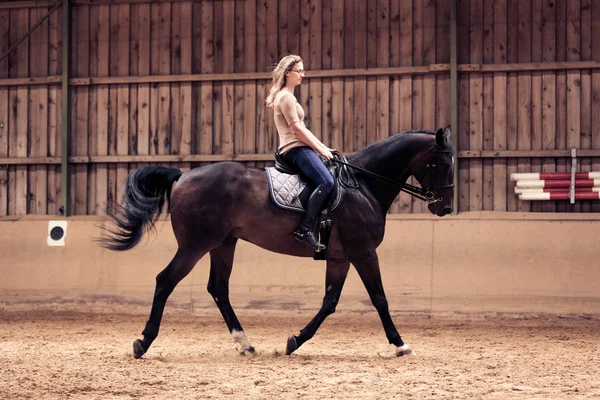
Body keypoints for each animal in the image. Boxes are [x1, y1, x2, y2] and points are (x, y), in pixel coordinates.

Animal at [99, 124, 454, 356]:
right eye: (443, 163)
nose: (445, 208)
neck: (363, 185)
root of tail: (183, 175)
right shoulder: (363, 252)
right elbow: (380, 298)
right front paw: (400, 343)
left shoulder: (340, 257)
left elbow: (329, 302)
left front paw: (295, 341)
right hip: (195, 245)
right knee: (165, 280)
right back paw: (143, 342)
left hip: (223, 243)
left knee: (219, 289)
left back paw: (245, 344)